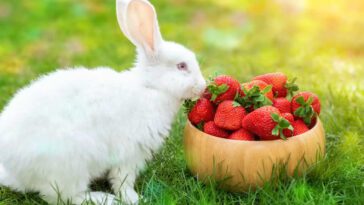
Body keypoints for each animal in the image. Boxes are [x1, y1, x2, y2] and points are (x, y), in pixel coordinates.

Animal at [0, 0, 206, 203]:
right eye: (181, 66)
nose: (203, 86)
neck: (150, 87)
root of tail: (14, 172)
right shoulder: (131, 152)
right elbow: (122, 180)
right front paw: (134, 198)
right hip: (71, 166)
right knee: (64, 197)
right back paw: (103, 198)